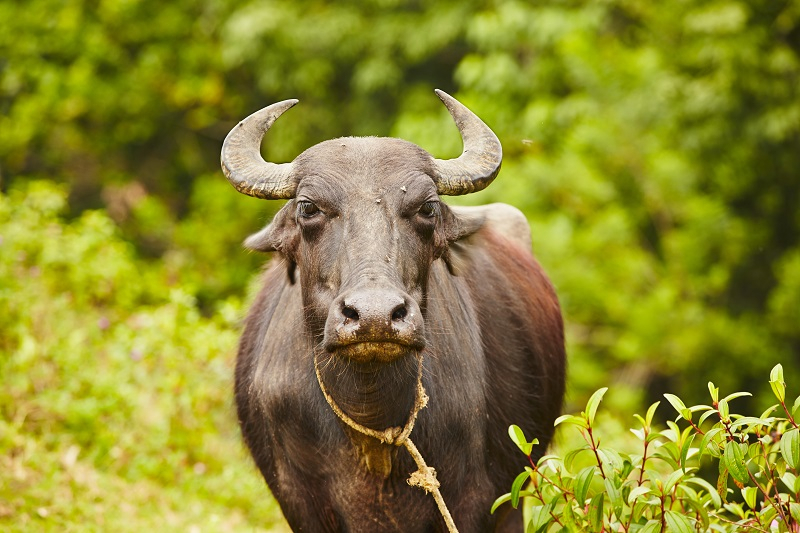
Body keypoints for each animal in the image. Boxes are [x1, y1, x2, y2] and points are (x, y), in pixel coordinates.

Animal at [222, 89, 564, 528]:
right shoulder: (298, 502)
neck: (373, 419)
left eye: (427, 207)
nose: (375, 316)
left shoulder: (479, 499)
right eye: (308, 208)